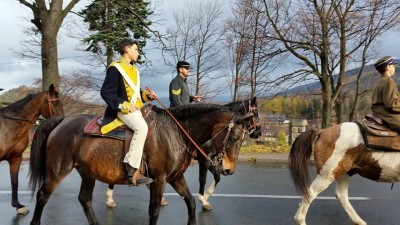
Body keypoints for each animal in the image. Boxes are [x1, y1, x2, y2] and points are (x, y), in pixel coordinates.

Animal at [0, 85, 63, 214]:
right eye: (55, 104)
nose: (63, 120)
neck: (8, 127)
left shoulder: (16, 158)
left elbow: (15, 181)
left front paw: (18, 206)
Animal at [28, 104, 255, 225]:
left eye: (243, 138)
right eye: (234, 137)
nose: (228, 169)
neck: (176, 132)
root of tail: (63, 120)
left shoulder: (176, 177)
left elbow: (190, 202)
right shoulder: (159, 179)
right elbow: (153, 211)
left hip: (88, 173)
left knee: (84, 199)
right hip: (58, 170)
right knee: (43, 195)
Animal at [104, 96, 264, 209]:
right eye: (255, 112)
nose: (259, 132)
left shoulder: (211, 159)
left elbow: (217, 177)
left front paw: (207, 195)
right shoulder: (204, 160)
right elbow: (202, 179)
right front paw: (203, 199)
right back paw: (110, 198)